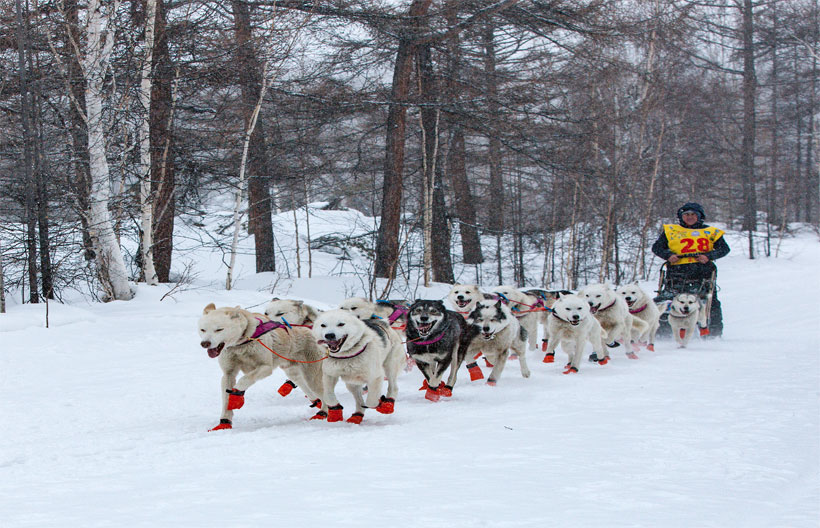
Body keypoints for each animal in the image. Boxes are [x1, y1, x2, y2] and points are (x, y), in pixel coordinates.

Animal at [198, 304, 324, 432]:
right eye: (203, 330)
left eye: (219, 329)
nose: (205, 343)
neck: (242, 343)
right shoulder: (228, 373)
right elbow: (226, 399)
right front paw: (224, 423)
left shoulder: (265, 367)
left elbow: (244, 379)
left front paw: (237, 395)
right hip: (293, 372)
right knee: (304, 386)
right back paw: (317, 402)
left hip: (312, 376)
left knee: (321, 391)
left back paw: (323, 412)